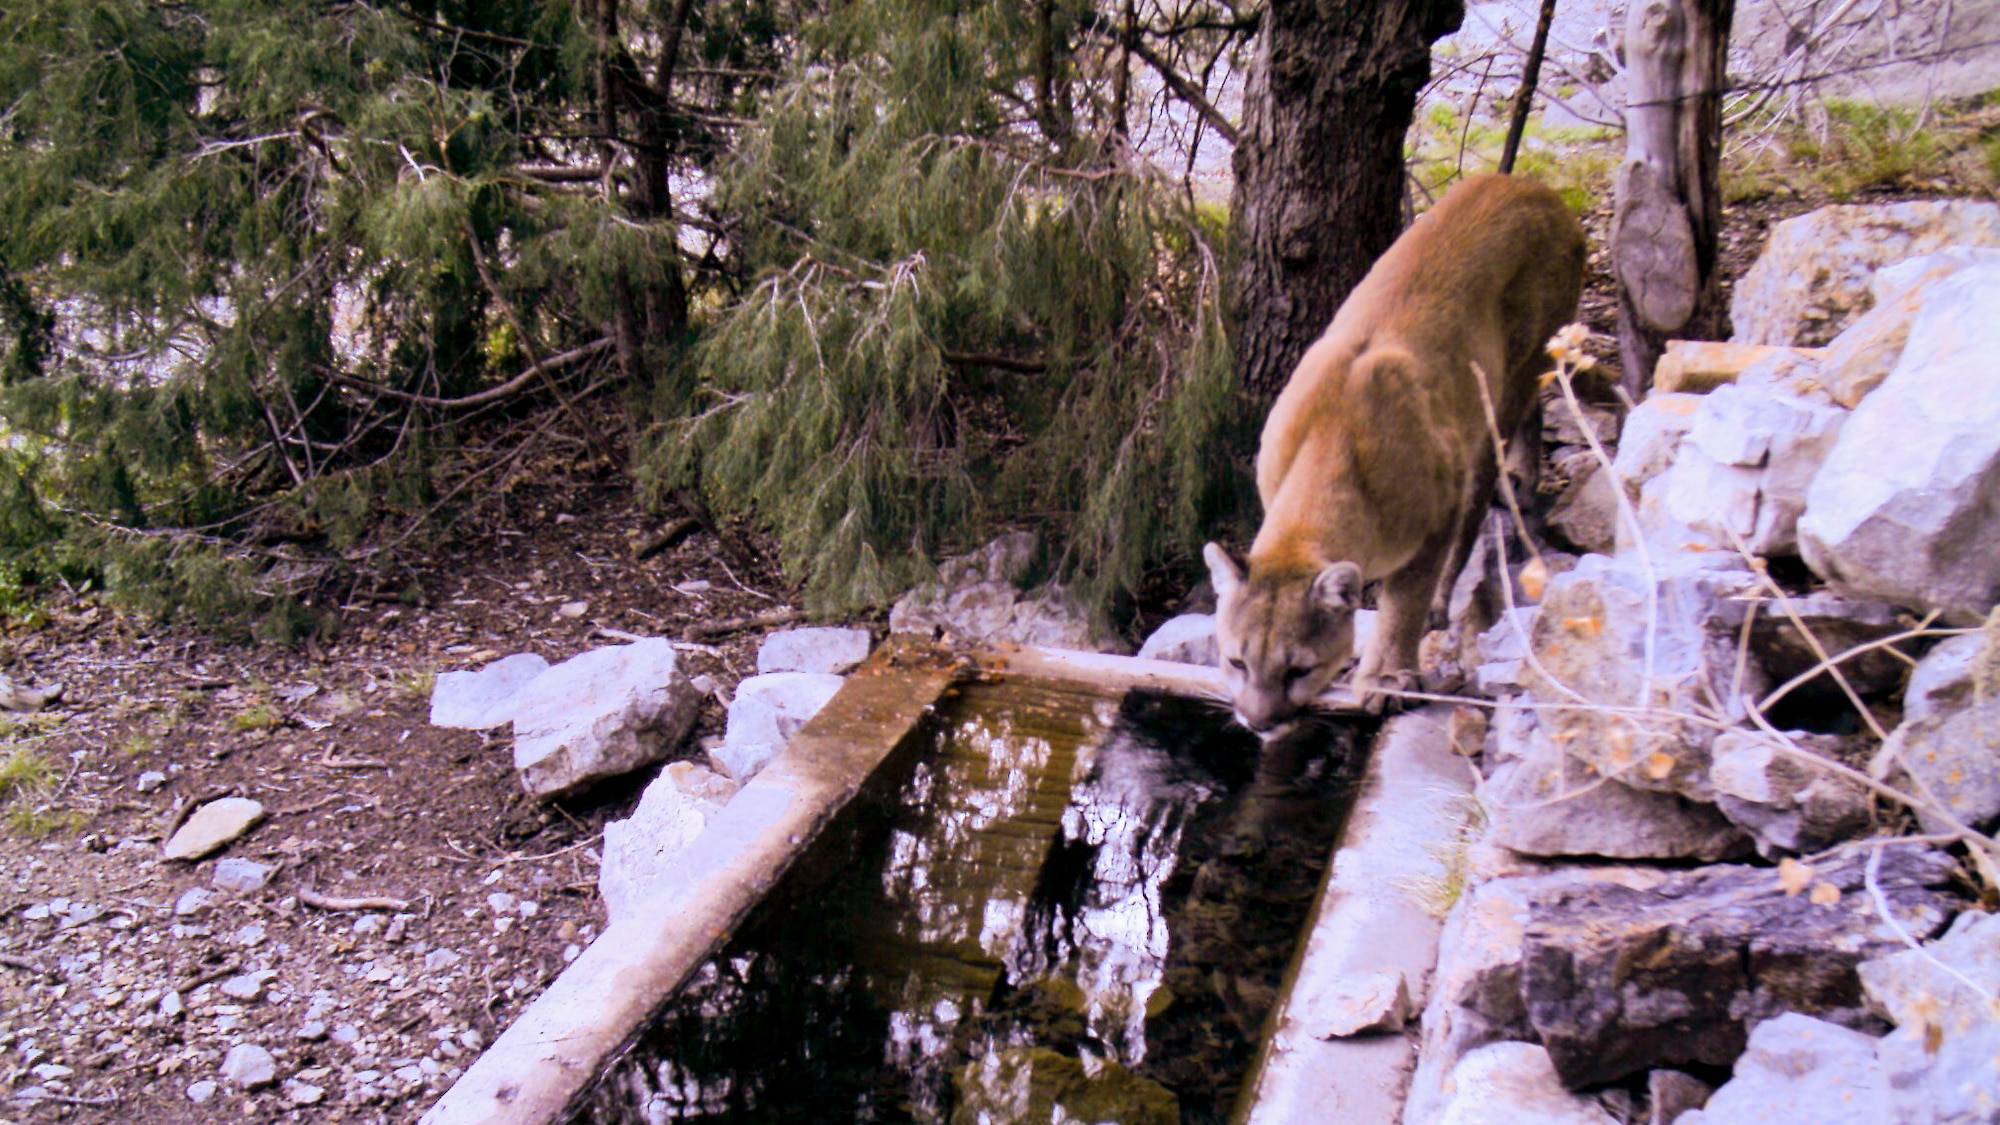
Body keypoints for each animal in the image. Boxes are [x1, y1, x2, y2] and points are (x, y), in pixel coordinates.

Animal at [1200, 171, 1576, 720]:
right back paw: (1524, 477)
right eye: (1236, 662)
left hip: (1498, 396)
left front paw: (1387, 677)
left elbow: (1405, 600)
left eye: (1298, 670)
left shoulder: (1436, 515)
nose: (1257, 720)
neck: (1328, 449)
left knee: (1481, 491)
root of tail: (1534, 187)